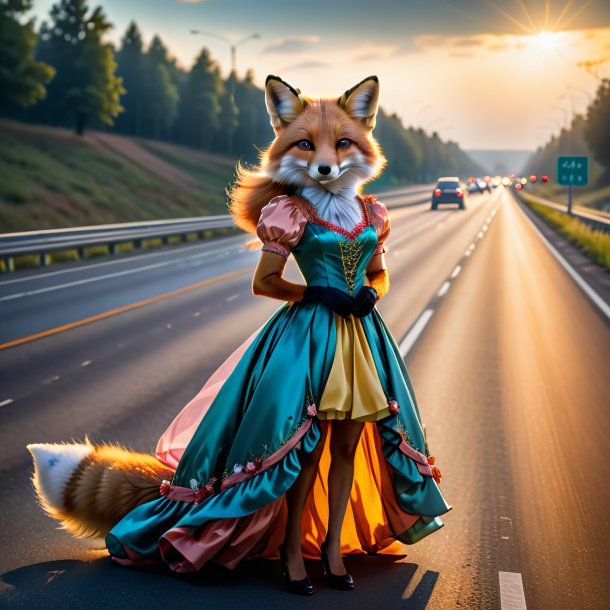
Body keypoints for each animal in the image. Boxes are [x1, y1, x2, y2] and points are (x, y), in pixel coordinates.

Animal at [28, 75, 390, 536]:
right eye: (305, 144)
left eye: (343, 143)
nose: (325, 169)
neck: (333, 205)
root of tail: (171, 485)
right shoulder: (280, 229)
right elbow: (273, 282)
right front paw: (336, 296)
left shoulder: (376, 239)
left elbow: (374, 277)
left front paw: (361, 297)